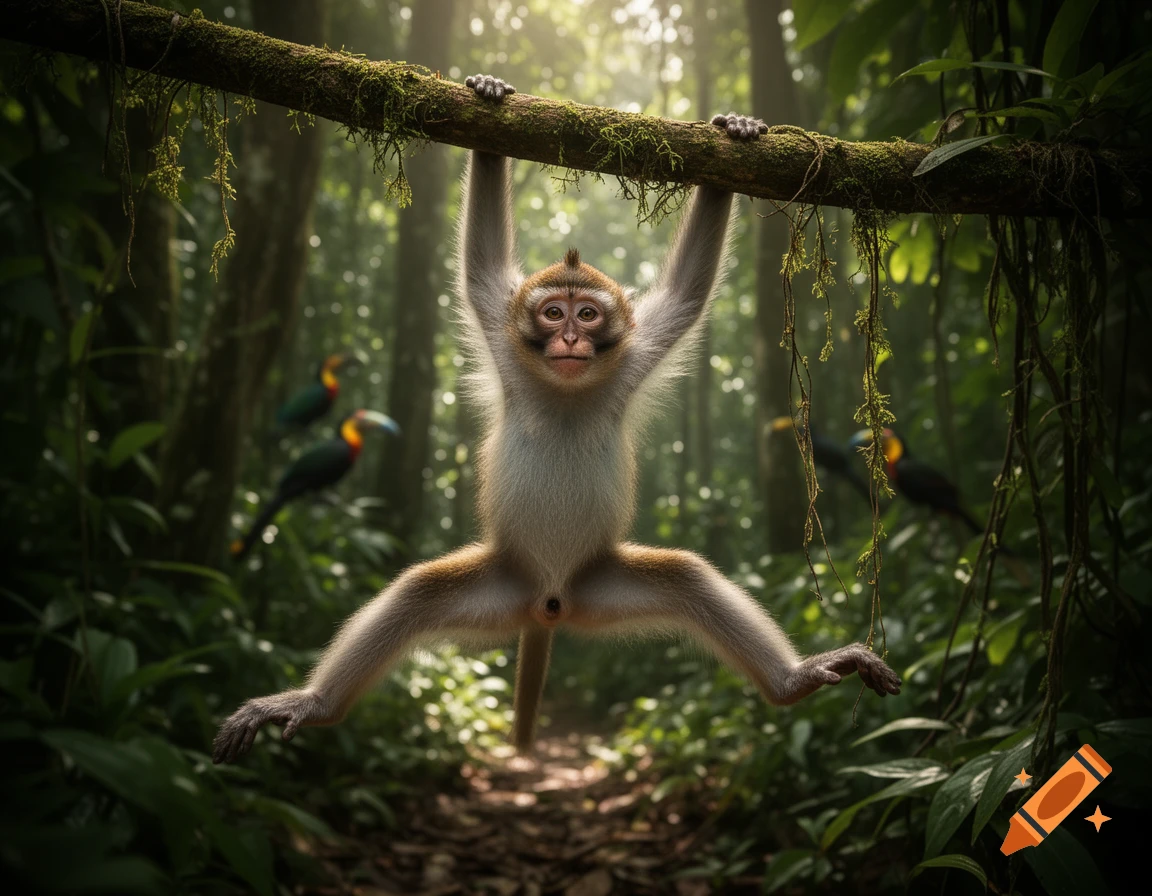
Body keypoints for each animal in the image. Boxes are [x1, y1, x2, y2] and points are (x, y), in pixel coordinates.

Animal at [211, 74, 900, 765]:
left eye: (588, 315)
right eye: (551, 313)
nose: (569, 337)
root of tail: (549, 603)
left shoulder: (634, 356)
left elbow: (686, 294)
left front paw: (735, 137)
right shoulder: (503, 337)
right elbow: (482, 268)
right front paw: (489, 108)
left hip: (599, 587)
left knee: (686, 579)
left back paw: (791, 682)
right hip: (504, 584)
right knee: (416, 593)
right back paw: (315, 704)